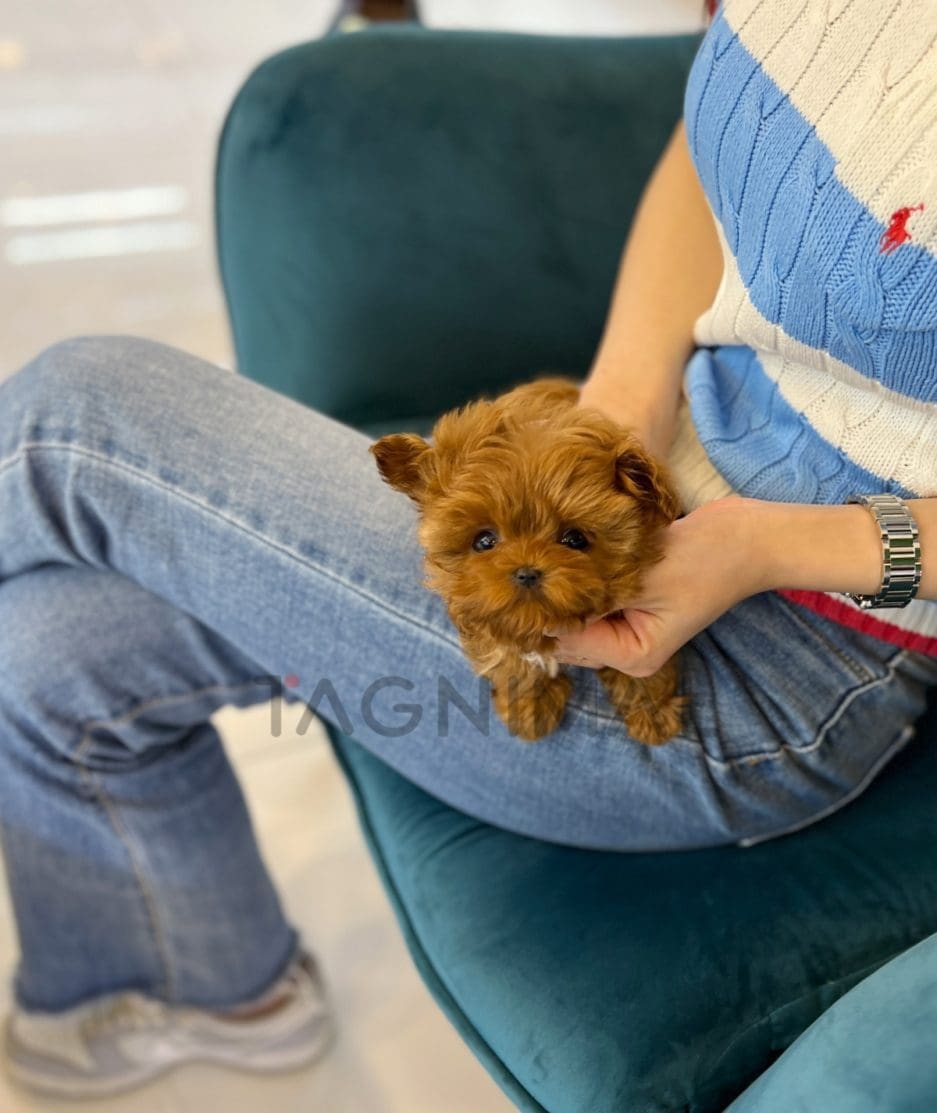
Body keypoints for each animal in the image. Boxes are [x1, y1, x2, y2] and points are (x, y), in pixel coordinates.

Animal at [369, 378, 681, 743]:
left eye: (575, 539)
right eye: (484, 541)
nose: (527, 573)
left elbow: (641, 672)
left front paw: (654, 710)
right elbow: (510, 659)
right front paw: (529, 709)